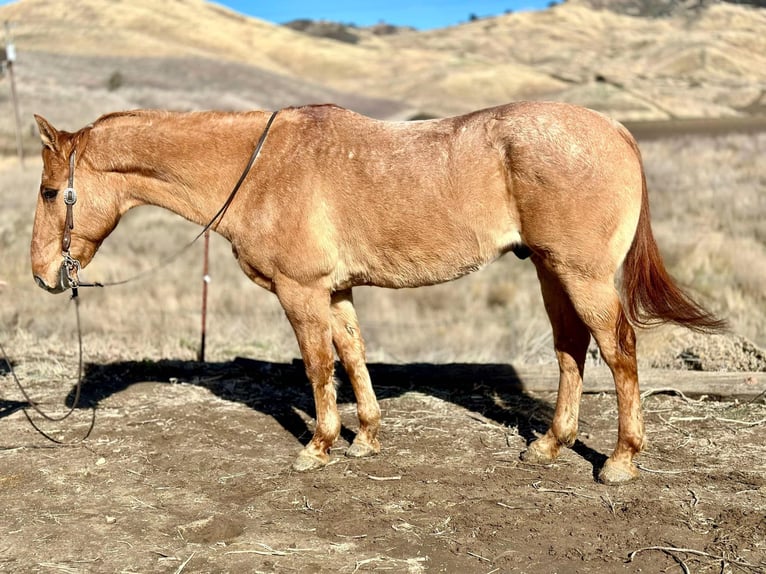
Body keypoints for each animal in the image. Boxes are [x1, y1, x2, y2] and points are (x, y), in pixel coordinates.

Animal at [30, 102, 728, 486]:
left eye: (48, 191)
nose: (42, 274)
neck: (257, 166)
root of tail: (617, 131)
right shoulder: (335, 292)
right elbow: (352, 355)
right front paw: (365, 437)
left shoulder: (300, 293)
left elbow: (317, 365)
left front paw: (318, 447)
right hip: (553, 274)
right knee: (570, 352)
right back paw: (550, 445)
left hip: (581, 275)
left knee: (619, 350)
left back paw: (620, 461)